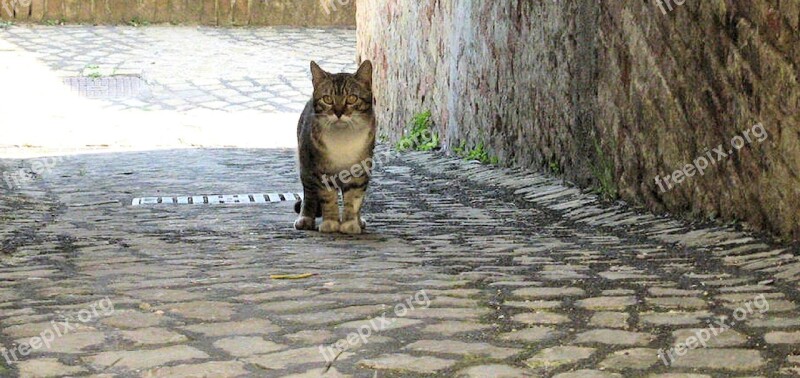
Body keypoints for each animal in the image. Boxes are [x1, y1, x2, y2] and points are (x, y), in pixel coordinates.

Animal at [294, 59, 376, 233]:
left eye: (351, 98)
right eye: (327, 99)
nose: (338, 112)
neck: (342, 139)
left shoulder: (360, 171)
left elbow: (353, 199)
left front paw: (350, 223)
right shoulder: (321, 171)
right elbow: (327, 198)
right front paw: (330, 222)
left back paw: (359, 220)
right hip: (306, 165)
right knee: (309, 194)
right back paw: (305, 218)